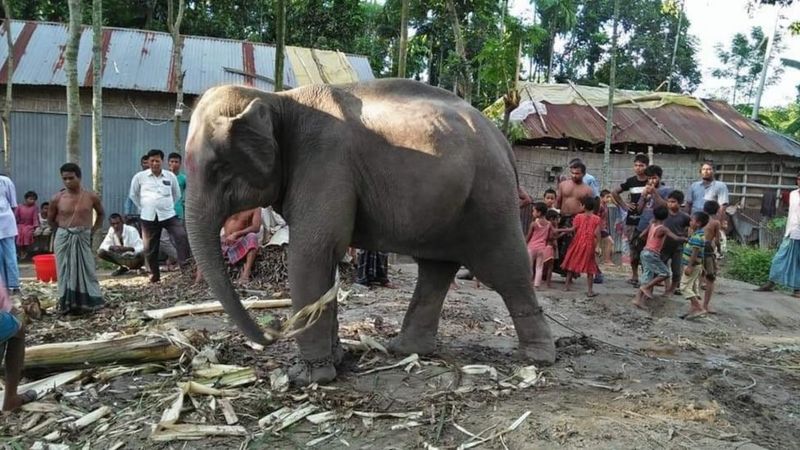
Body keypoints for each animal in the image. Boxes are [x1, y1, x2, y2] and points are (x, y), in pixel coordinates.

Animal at [184, 76, 552, 384]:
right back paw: (405, 350)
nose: (273, 327)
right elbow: (324, 261)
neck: (277, 99)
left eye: (219, 168)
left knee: (504, 268)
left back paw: (538, 357)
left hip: (490, 199)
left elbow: (313, 252)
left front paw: (307, 378)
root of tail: (504, 144)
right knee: (436, 269)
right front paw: (336, 361)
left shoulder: (324, 165)